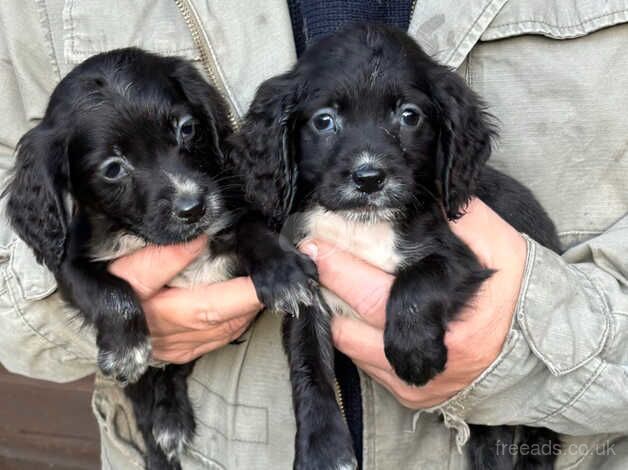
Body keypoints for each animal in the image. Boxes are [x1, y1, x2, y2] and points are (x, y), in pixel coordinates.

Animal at [5, 48, 316, 470]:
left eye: (186, 129)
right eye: (113, 169)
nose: (193, 208)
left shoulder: (232, 206)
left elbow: (254, 230)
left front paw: (283, 273)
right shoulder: (67, 262)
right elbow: (110, 294)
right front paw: (126, 350)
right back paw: (165, 430)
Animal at [233, 24, 560, 470]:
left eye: (409, 116)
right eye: (324, 121)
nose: (369, 177)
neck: (362, 226)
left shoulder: (462, 258)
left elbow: (418, 283)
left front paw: (414, 354)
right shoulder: (306, 288)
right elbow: (308, 365)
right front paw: (321, 448)